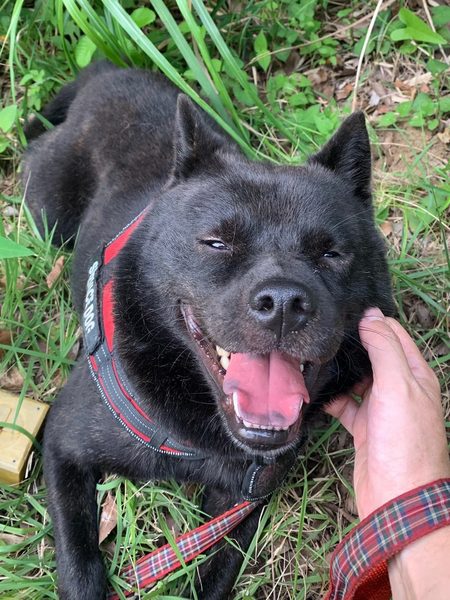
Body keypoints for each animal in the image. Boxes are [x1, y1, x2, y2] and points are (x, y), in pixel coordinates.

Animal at [23, 61, 394, 599]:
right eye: (216, 242)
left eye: (332, 252)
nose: (283, 304)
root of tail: (110, 69)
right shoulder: (62, 445)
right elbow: (78, 560)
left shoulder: (241, 501)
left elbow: (214, 578)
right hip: (46, 211)